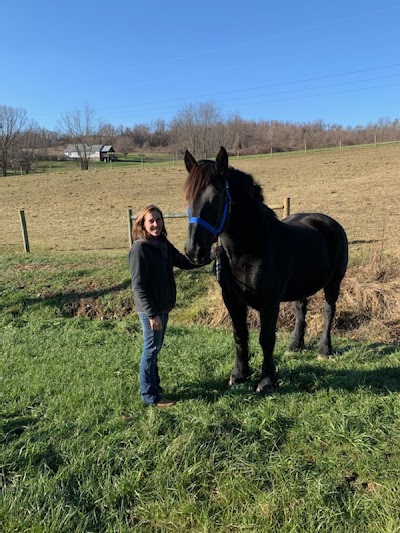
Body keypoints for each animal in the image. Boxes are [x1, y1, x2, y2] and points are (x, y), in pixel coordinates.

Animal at [184, 145, 346, 390]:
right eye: (187, 197)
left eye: (216, 198)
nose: (194, 251)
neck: (248, 251)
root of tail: (329, 222)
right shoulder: (231, 299)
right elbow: (240, 335)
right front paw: (239, 374)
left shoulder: (269, 303)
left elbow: (266, 338)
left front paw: (267, 380)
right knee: (301, 309)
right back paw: (294, 346)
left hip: (334, 283)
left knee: (328, 310)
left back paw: (324, 350)